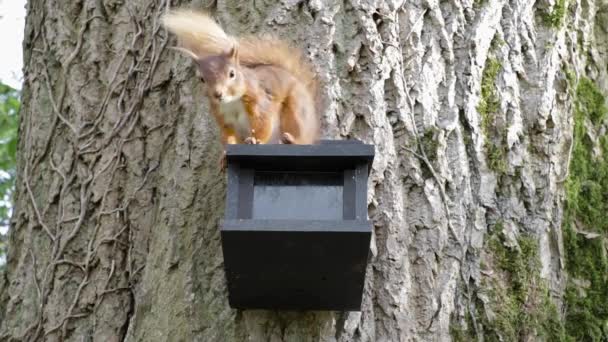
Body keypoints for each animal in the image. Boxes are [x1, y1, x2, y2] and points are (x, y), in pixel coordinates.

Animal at [162, 9, 324, 167]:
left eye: (232, 73)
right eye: (201, 79)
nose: (218, 94)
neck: (231, 102)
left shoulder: (258, 101)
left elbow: (263, 123)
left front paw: (256, 140)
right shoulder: (222, 116)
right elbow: (227, 136)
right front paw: (224, 156)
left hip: (297, 111)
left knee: (302, 137)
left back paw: (292, 140)